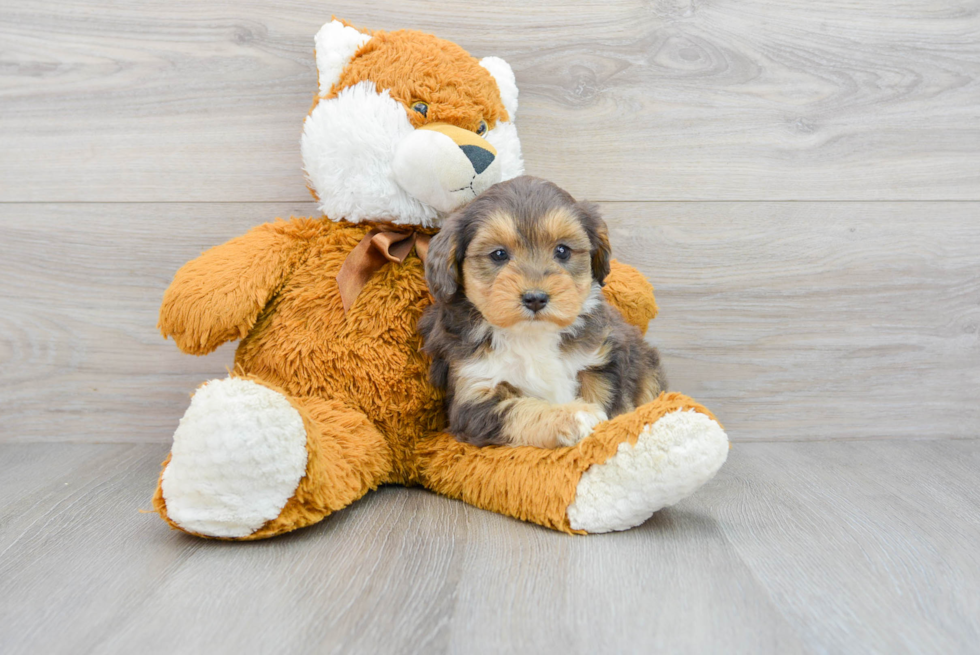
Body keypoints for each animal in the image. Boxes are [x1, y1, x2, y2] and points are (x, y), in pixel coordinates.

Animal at [418, 177, 668, 448]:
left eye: (563, 250)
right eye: (499, 254)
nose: (535, 298)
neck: (531, 335)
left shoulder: (603, 360)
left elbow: (610, 401)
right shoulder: (473, 397)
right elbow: (522, 411)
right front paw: (572, 416)